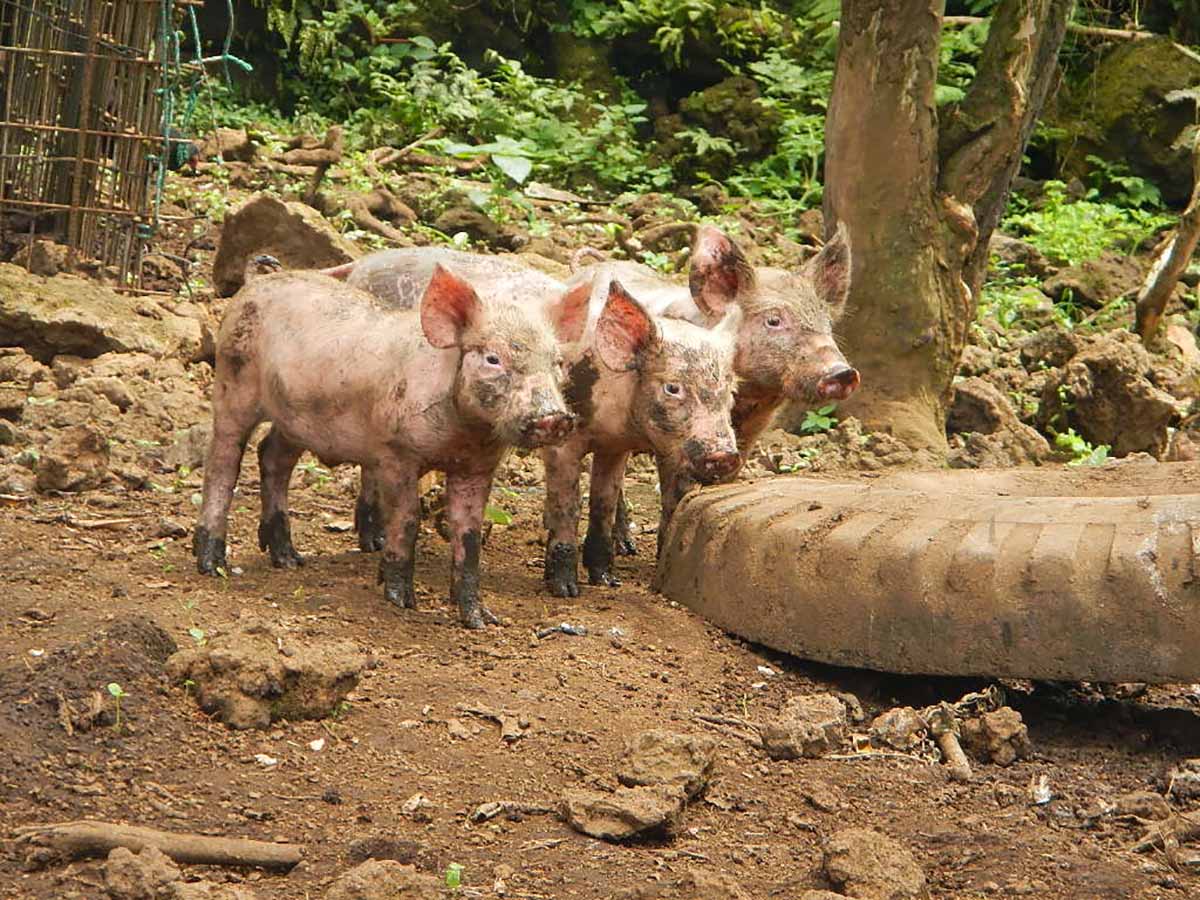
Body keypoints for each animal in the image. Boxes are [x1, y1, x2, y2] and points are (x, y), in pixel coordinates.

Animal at [194, 266, 588, 628]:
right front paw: (401, 601)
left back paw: (290, 560)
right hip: (232, 383)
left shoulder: (476, 466)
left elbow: (469, 534)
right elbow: (408, 517)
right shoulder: (395, 453)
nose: (554, 417)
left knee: (272, 456)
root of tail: (256, 284)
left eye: (557, 362)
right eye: (493, 358)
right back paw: (212, 565)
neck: (462, 436)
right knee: (223, 462)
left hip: (293, 419)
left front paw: (481, 620)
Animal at [324, 247, 744, 600]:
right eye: (673, 387)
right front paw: (568, 591)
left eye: (731, 390)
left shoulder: (615, 447)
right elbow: (568, 504)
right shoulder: (564, 443)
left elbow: (604, 503)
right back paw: (374, 542)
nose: (726, 455)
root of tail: (361, 264)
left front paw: (607, 580)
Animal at [566, 224, 859, 556]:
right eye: (773, 320)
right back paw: (626, 548)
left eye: (827, 324)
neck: (751, 396)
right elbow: (674, 492)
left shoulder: (750, 431)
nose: (843, 372)